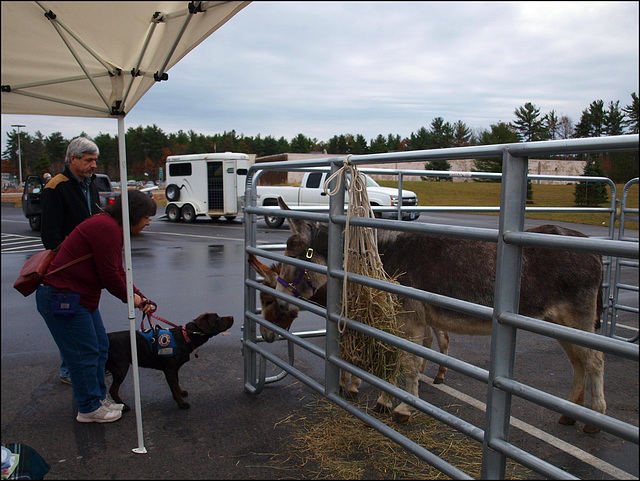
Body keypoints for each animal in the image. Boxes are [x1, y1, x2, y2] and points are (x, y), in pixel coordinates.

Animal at [106, 314, 234, 410]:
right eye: (217, 319)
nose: (232, 317)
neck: (185, 337)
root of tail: (108, 337)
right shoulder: (169, 370)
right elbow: (174, 386)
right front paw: (181, 403)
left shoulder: (174, 369)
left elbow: (176, 384)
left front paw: (180, 394)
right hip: (121, 367)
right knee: (113, 389)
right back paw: (124, 406)